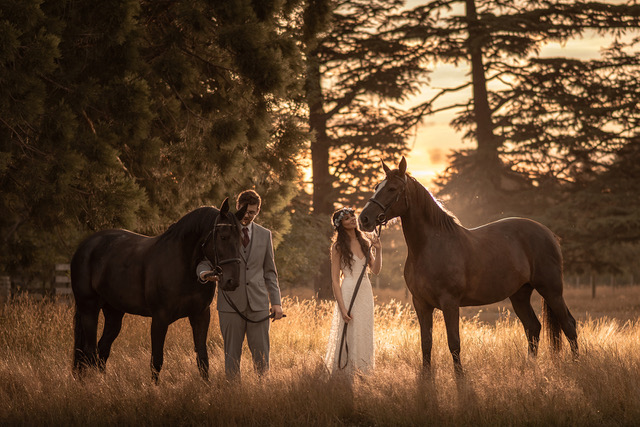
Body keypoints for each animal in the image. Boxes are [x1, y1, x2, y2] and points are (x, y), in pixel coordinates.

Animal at [71, 199, 246, 382]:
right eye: (223, 236)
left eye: (241, 240)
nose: (232, 281)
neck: (182, 264)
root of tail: (85, 246)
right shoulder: (159, 318)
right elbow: (156, 361)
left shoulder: (201, 315)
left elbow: (203, 359)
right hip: (89, 309)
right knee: (89, 351)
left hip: (114, 312)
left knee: (102, 349)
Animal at [360, 157, 580, 374]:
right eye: (377, 186)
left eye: (392, 189)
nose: (364, 219)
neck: (429, 247)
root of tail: (548, 233)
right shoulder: (421, 304)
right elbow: (426, 343)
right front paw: (427, 378)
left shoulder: (450, 303)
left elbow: (454, 343)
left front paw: (460, 379)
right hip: (520, 294)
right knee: (533, 327)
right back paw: (530, 370)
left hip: (551, 290)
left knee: (569, 325)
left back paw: (577, 366)